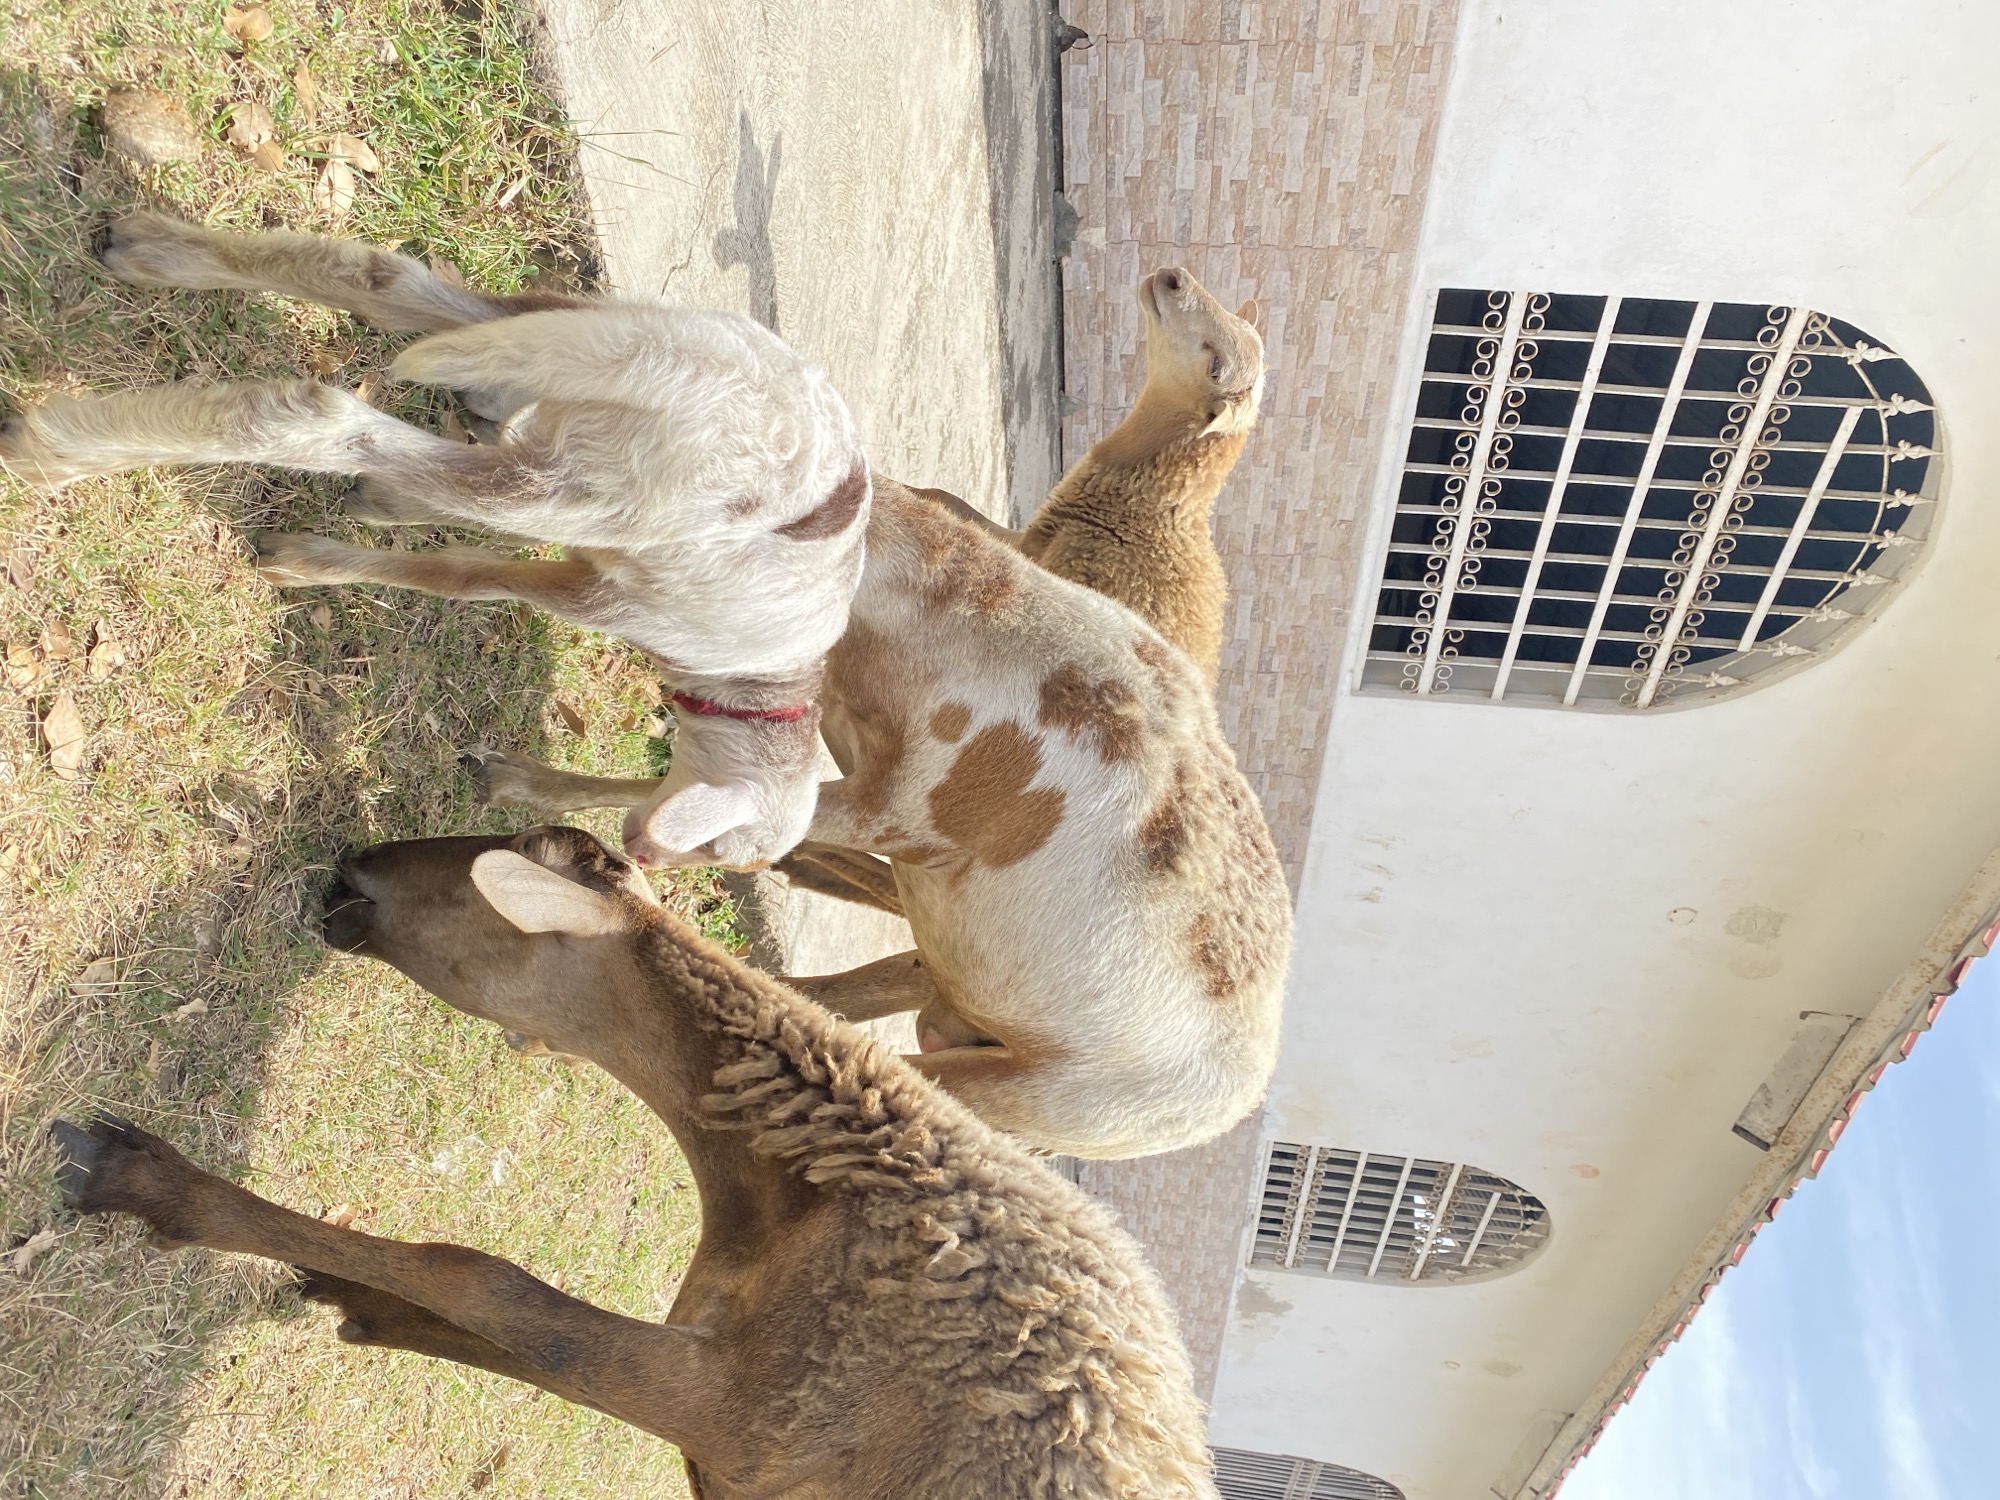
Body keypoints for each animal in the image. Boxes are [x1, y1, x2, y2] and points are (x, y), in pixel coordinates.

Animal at [0, 212, 870, 870]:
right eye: (732, 857)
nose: (641, 858)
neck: (767, 673)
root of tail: (713, 383)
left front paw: (373, 512)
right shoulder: (607, 595)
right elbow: (466, 575)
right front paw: (313, 560)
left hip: (587, 341)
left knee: (391, 283)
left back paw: (151, 251)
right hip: (592, 484)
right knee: (337, 416)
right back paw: (55, 450)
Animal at [50, 824, 1219, 1499]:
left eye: (475, 881)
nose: (356, 858)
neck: (791, 1196)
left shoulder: (748, 1412)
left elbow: (492, 1287)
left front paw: (140, 1180)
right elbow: (531, 1348)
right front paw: (359, 1303)